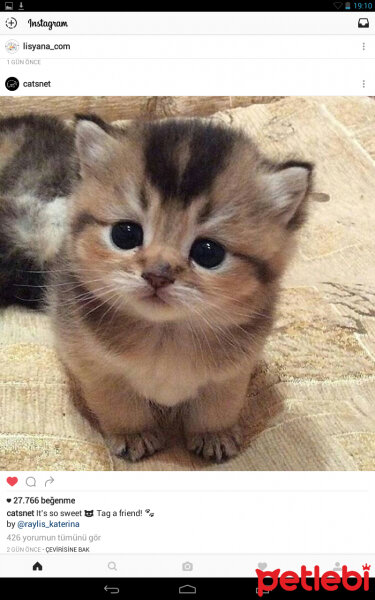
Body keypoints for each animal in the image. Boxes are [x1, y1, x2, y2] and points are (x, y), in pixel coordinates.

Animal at [49, 117, 314, 464]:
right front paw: (134, 433)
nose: (157, 275)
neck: (166, 336)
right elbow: (117, 401)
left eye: (208, 253)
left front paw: (214, 434)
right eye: (125, 234)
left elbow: (219, 404)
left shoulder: (233, 372)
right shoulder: (92, 363)